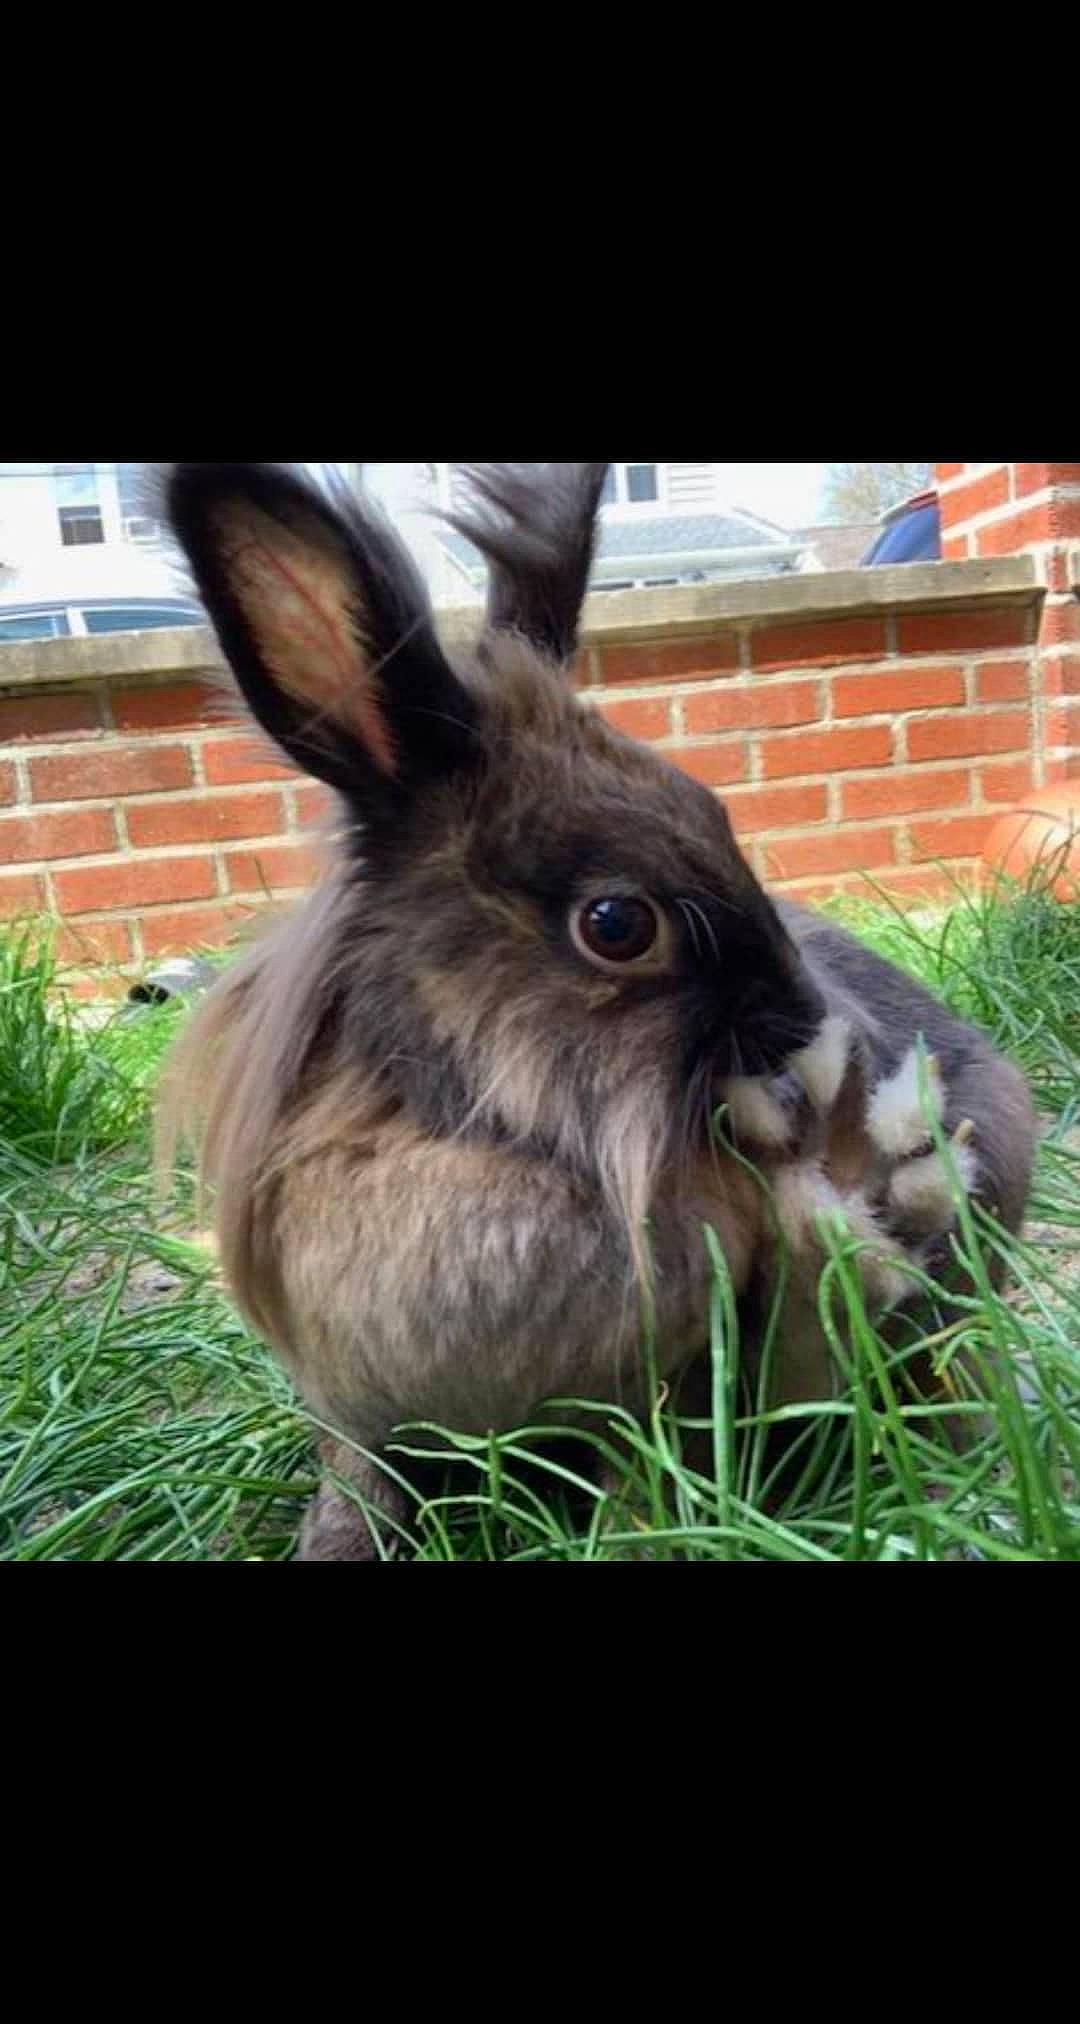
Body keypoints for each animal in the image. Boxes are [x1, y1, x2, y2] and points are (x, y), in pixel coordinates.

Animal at [156, 462, 1037, 1557]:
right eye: (617, 924)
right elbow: (359, 1495)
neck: (474, 1137)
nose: (803, 1020)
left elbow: (644, 1488)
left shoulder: (666, 1396)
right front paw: (332, 1545)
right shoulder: (353, 1409)